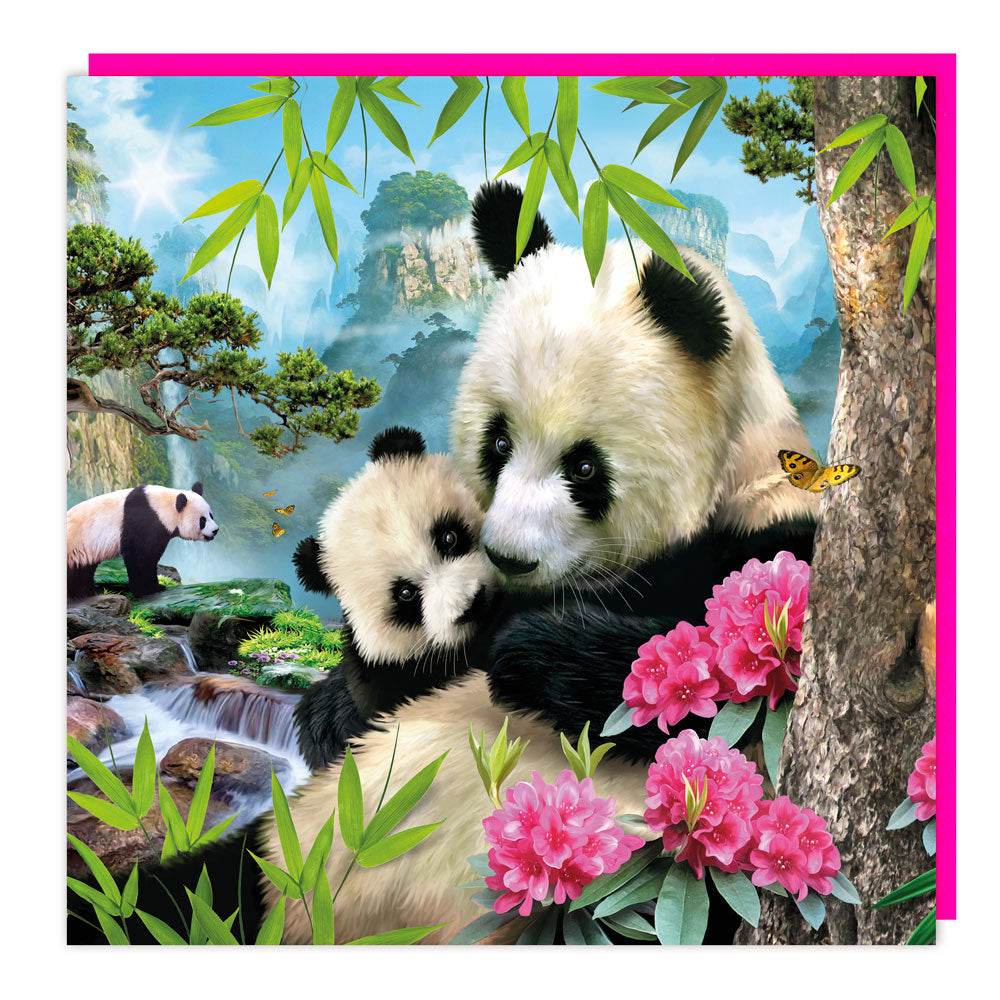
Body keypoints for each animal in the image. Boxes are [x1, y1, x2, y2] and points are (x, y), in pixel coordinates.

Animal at [67, 482, 219, 600]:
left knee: (82, 569)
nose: (215, 530)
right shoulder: (143, 521)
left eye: (211, 515)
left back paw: (85, 592)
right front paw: (150, 589)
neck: (163, 507)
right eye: (202, 520)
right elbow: (140, 557)